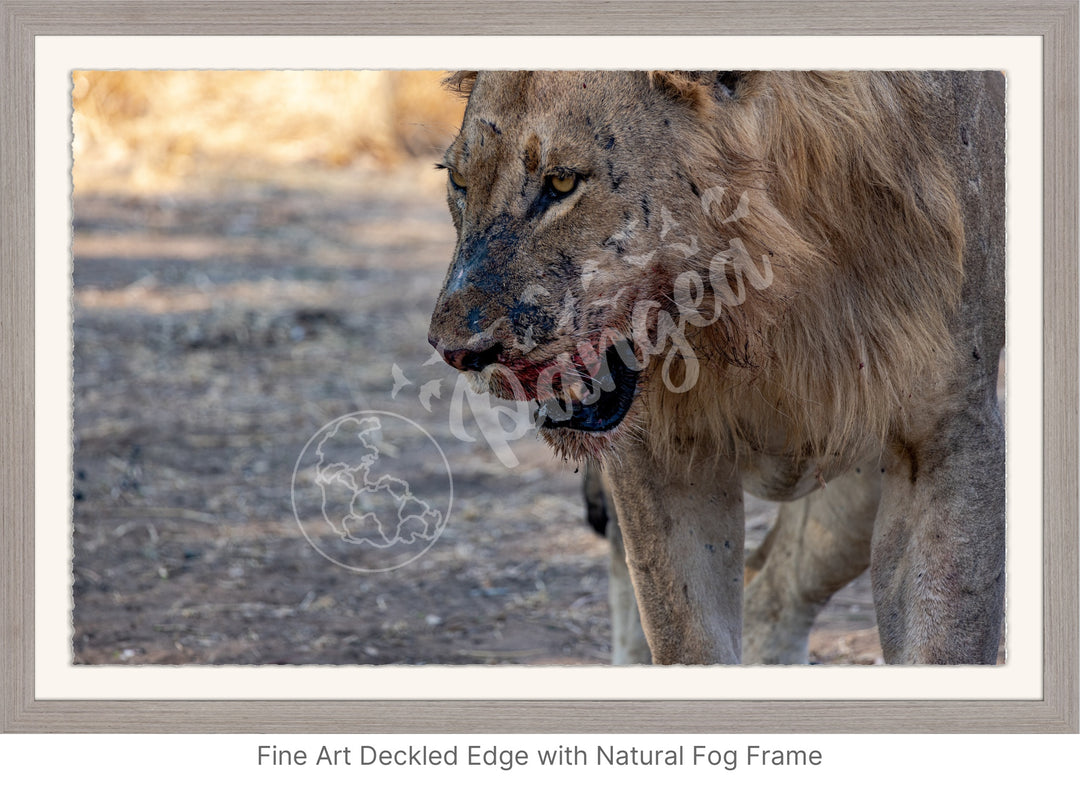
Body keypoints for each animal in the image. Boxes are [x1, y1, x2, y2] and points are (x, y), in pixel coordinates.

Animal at [425, 72, 1006, 664]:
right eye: (459, 180)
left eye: (562, 182)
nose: (456, 351)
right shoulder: (663, 453)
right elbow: (687, 636)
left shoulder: (946, 437)